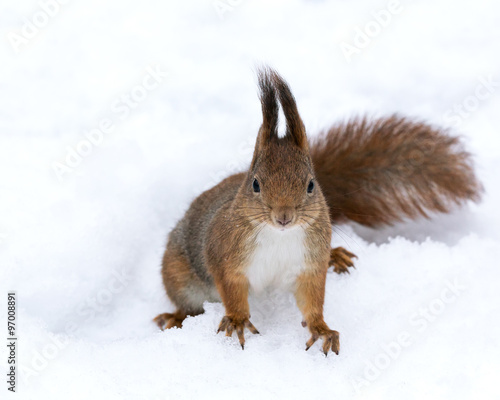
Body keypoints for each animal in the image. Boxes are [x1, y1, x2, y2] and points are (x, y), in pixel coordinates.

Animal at [153, 67, 480, 354]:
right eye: (255, 184)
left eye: (311, 185)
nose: (284, 216)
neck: (279, 236)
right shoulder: (225, 255)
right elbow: (231, 290)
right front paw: (237, 319)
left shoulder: (309, 264)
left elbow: (312, 299)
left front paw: (322, 328)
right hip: (180, 275)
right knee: (187, 304)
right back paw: (175, 317)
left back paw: (336, 255)